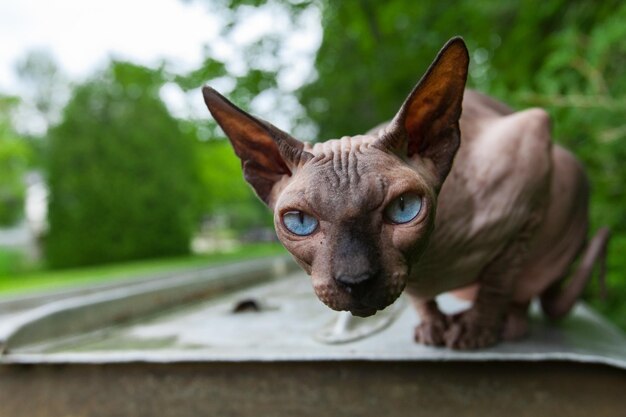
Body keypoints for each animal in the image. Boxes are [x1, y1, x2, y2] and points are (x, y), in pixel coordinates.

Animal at [202, 37, 608, 348]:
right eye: (300, 222)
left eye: (404, 208)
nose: (356, 281)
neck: (433, 264)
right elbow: (418, 295)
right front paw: (432, 325)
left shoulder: (529, 178)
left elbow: (499, 280)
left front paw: (476, 331)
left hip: (568, 177)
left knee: (525, 288)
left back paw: (507, 325)